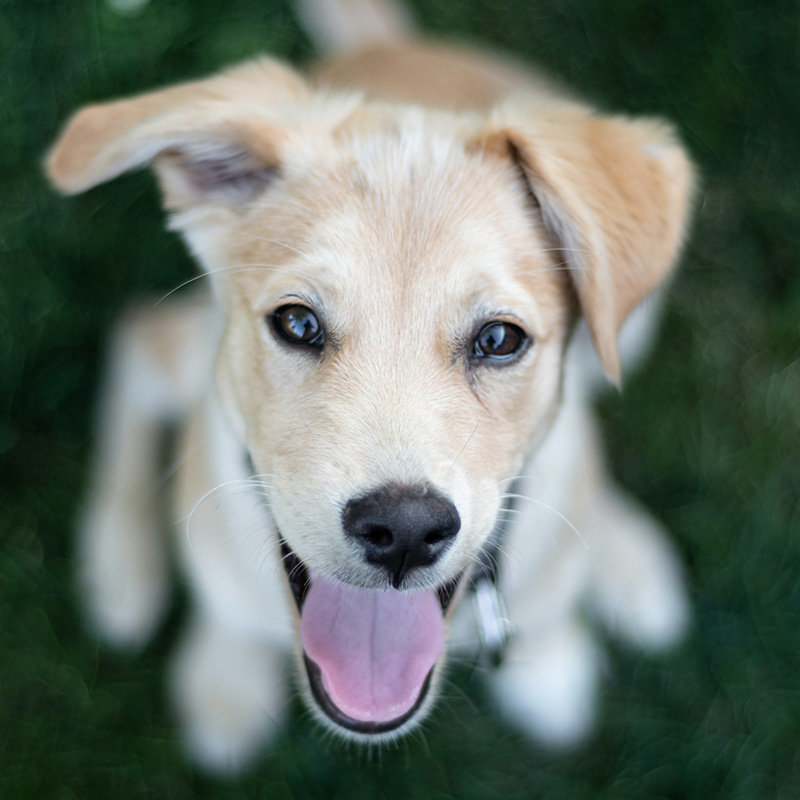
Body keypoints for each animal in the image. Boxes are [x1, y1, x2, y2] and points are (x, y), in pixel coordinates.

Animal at [45, 0, 692, 776]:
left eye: (499, 339)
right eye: (297, 322)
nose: (405, 531)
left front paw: (552, 662)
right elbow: (226, 612)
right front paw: (224, 678)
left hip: (636, 318)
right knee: (137, 338)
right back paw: (119, 561)